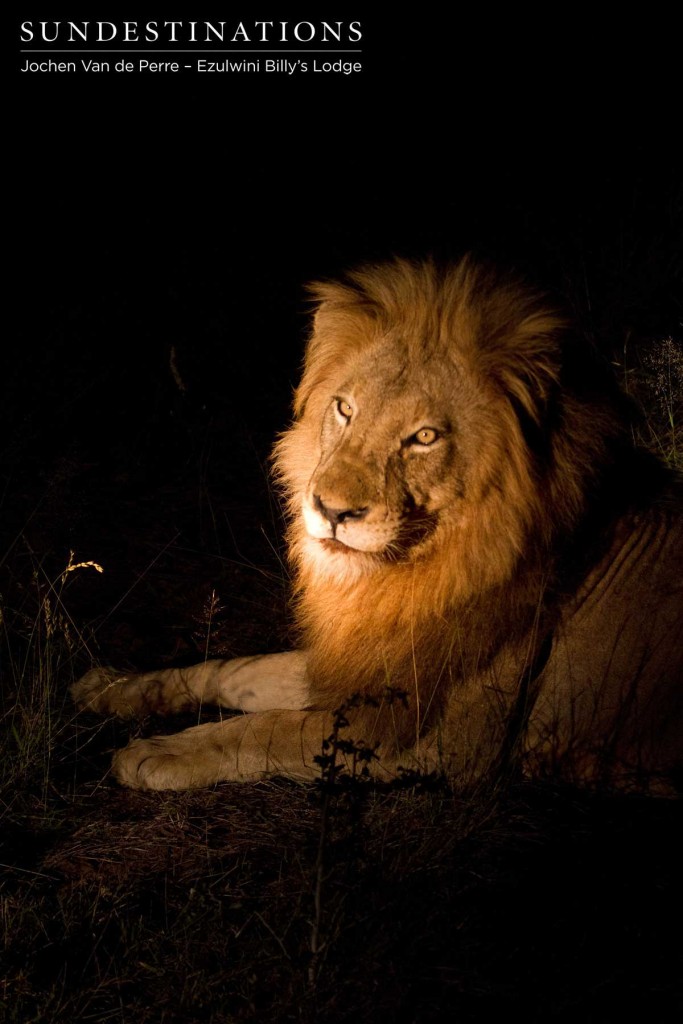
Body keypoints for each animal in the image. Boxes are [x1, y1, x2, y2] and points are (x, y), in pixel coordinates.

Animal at [72, 257, 683, 793]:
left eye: (425, 437)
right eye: (345, 409)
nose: (331, 510)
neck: (405, 575)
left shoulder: (438, 741)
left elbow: (268, 729)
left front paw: (157, 751)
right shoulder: (360, 658)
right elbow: (232, 670)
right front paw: (115, 687)